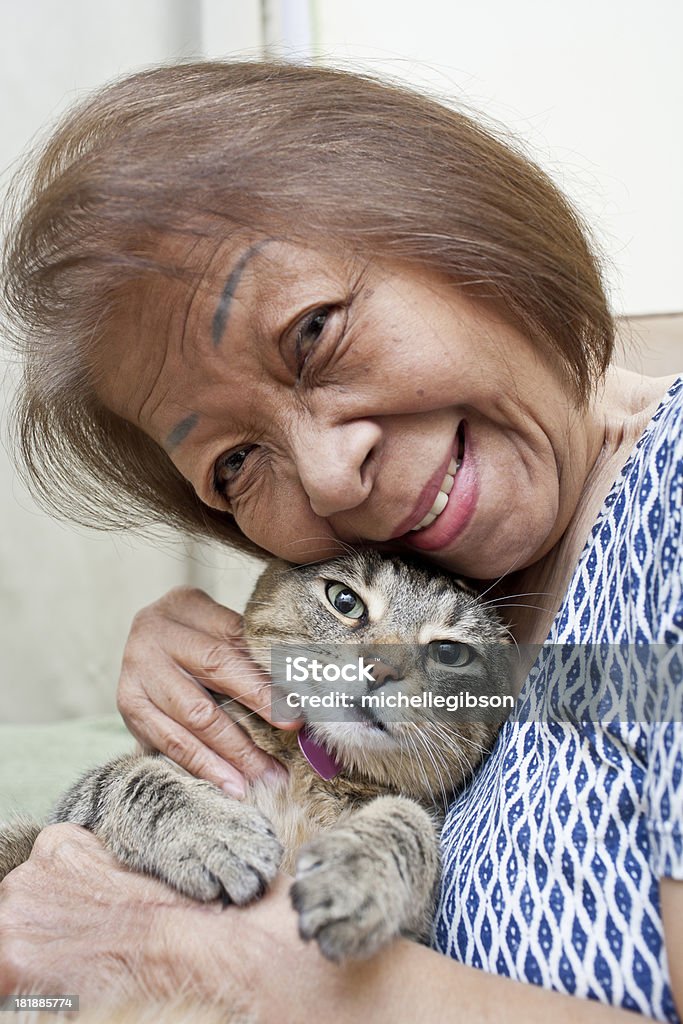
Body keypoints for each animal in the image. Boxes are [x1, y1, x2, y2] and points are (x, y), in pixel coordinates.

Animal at [0, 552, 511, 958]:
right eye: (345, 601)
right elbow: (135, 778)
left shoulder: (416, 932)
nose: (380, 668)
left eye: (450, 653)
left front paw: (360, 869)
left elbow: (407, 817)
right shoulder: (74, 810)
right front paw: (213, 833)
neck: (309, 776)